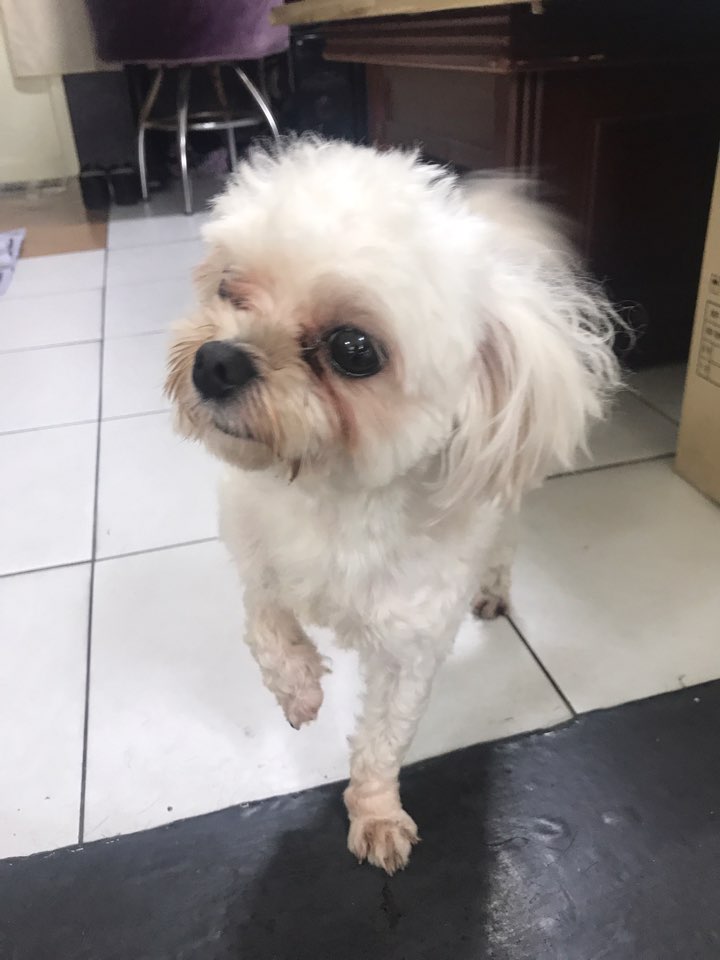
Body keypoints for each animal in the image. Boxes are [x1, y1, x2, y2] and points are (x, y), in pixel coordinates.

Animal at [166, 137, 620, 874]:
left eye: (354, 350)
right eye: (230, 286)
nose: (216, 360)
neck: (331, 499)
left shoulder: (410, 648)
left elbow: (383, 737)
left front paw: (376, 813)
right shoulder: (255, 556)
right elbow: (266, 626)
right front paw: (299, 687)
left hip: (505, 506)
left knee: (504, 547)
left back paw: (494, 590)